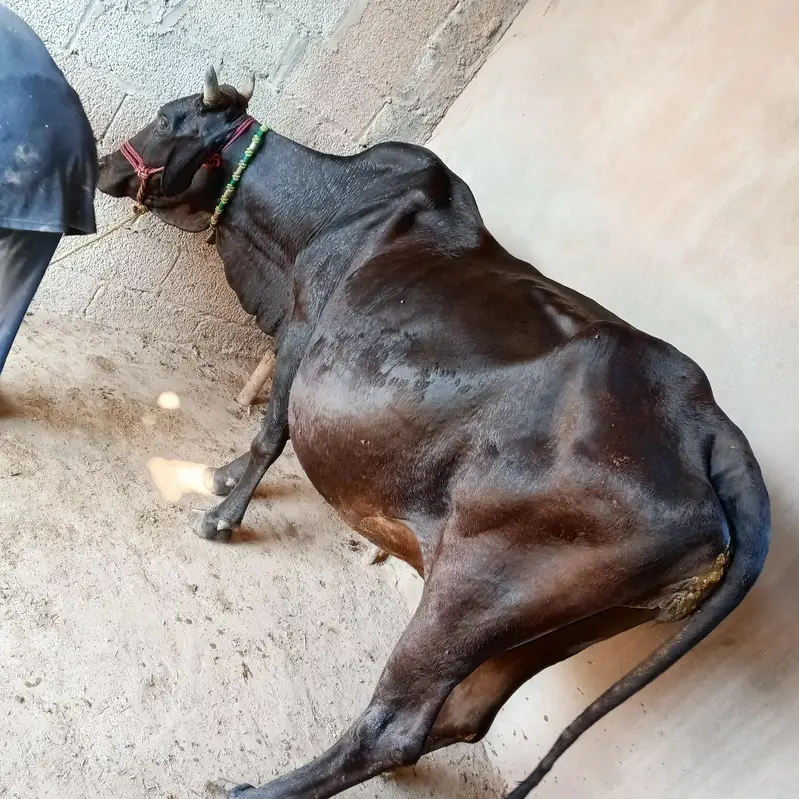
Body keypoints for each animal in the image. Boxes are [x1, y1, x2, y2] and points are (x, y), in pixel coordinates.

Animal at [97, 68, 770, 798]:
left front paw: (222, 513)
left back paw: (268, 789)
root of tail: (707, 424)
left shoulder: (304, 328)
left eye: (169, 118)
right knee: (465, 716)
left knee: (396, 722)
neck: (320, 215)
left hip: (473, 590)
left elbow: (271, 431)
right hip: (553, 628)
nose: (103, 165)